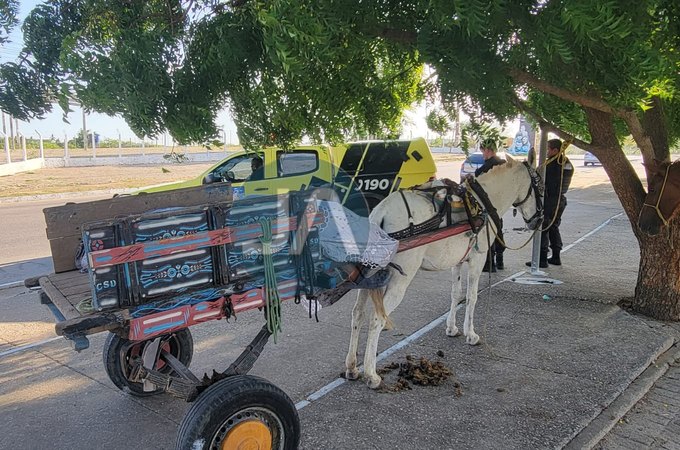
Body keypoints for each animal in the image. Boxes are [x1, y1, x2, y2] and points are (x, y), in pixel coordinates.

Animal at [346, 155, 540, 386]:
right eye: (539, 184)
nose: (538, 220)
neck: (483, 202)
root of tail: (380, 213)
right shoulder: (478, 258)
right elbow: (472, 296)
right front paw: (470, 334)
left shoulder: (458, 260)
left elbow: (456, 294)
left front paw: (452, 328)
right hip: (399, 279)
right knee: (377, 318)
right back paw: (371, 373)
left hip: (368, 276)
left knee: (357, 313)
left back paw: (352, 367)